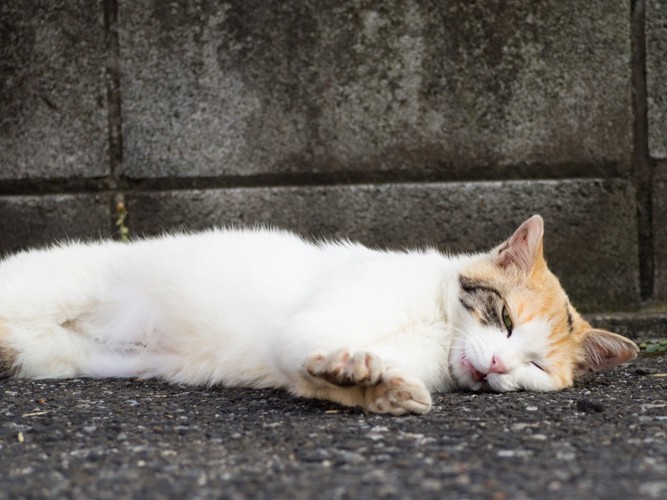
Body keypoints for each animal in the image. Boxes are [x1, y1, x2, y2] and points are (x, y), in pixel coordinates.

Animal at [0, 215, 640, 414]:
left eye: (535, 368)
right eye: (504, 319)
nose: (499, 366)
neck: (436, 327)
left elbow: (318, 378)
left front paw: (375, 389)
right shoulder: (315, 320)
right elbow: (303, 340)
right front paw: (351, 369)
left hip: (49, 355)